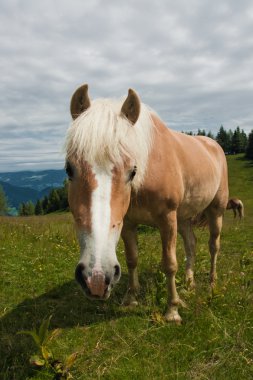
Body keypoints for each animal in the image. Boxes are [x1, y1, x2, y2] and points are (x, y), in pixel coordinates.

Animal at [65, 84, 229, 322]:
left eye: (132, 171)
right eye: (69, 169)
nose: (95, 277)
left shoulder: (167, 219)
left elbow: (169, 263)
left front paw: (172, 310)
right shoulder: (128, 222)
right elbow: (132, 259)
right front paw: (131, 299)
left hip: (216, 210)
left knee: (213, 246)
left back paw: (211, 284)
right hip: (184, 217)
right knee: (191, 244)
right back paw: (189, 283)